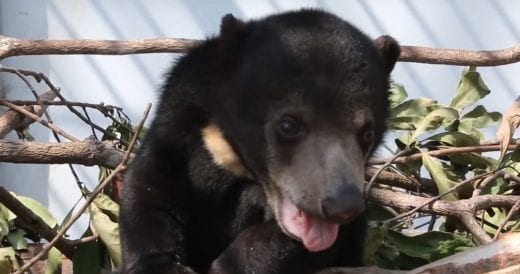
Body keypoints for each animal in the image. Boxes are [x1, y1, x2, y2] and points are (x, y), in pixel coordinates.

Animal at [120, 8, 400, 274]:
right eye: (288, 125)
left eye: (367, 133)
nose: (343, 205)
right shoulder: (178, 119)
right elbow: (149, 189)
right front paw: (162, 265)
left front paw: (231, 266)